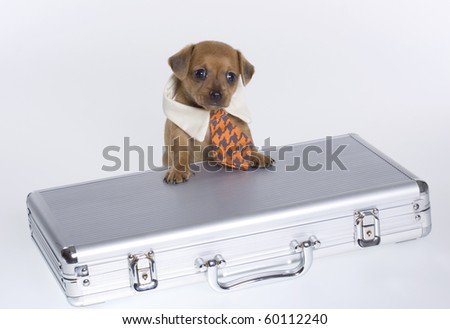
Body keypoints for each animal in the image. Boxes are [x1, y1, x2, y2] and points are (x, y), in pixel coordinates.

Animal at [163, 40, 272, 183]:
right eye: (200, 73)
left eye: (231, 76)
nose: (216, 94)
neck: (210, 113)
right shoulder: (180, 133)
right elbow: (180, 154)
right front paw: (178, 170)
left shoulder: (240, 126)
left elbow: (246, 144)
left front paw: (257, 155)